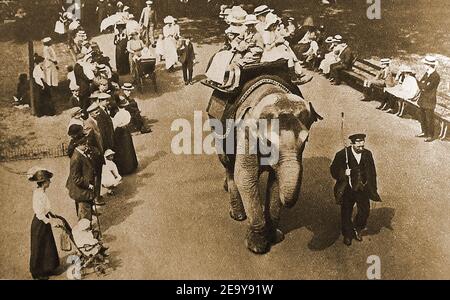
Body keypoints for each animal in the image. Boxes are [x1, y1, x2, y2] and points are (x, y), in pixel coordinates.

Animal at [211, 74, 324, 254]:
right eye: (268, 142)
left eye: (306, 141)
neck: (272, 93)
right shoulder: (246, 133)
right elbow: (245, 176)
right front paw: (257, 246)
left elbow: (275, 181)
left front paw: (275, 237)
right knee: (229, 165)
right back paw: (237, 213)